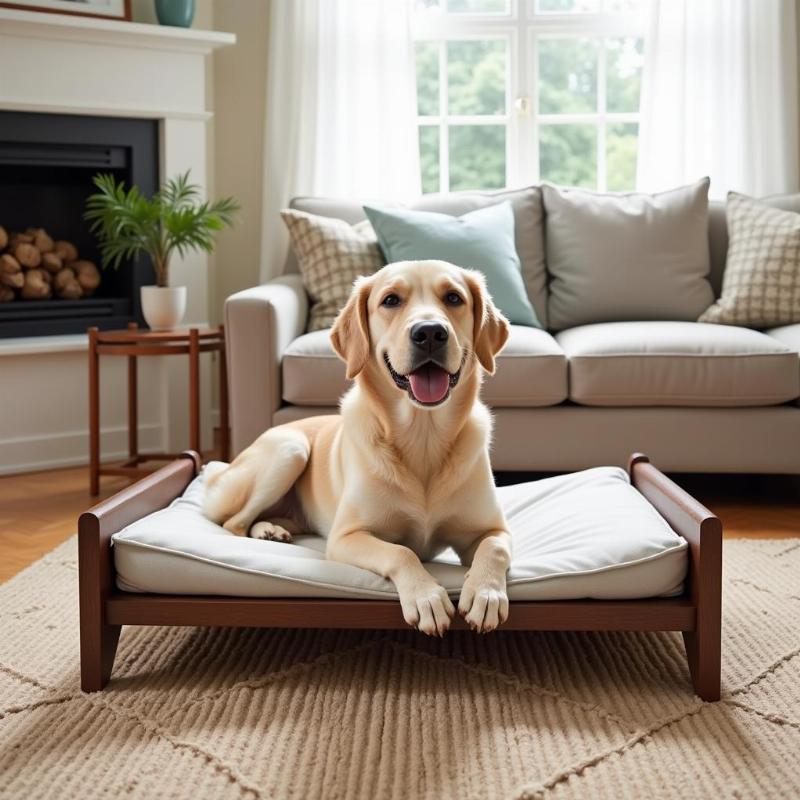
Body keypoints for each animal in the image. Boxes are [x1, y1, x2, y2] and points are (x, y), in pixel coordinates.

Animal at [203, 262, 510, 636]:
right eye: (390, 300)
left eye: (454, 298)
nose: (430, 333)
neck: (423, 436)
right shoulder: (345, 537)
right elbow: (401, 552)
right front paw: (425, 596)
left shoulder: (492, 529)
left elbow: (494, 548)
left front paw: (486, 593)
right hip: (290, 449)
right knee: (233, 523)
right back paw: (261, 532)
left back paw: (272, 529)